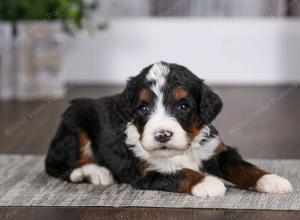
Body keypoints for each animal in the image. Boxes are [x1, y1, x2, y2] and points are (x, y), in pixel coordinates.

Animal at [45, 61, 292, 197]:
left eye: (183, 106)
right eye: (143, 108)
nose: (162, 135)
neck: (184, 150)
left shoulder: (215, 150)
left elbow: (242, 166)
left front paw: (271, 180)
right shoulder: (144, 171)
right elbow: (176, 172)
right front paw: (207, 183)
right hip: (74, 126)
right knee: (57, 165)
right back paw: (96, 171)